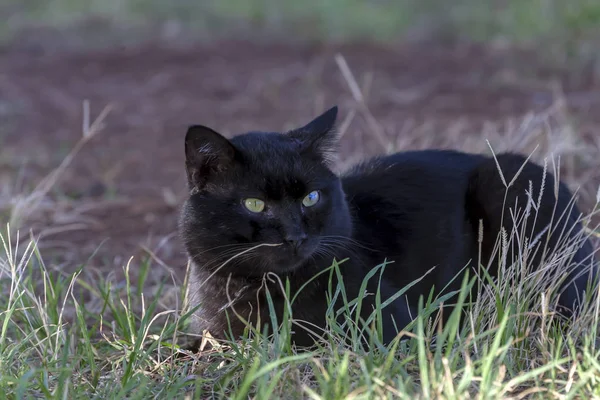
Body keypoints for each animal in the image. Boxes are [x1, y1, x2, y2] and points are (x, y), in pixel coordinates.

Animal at [178, 105, 596, 346]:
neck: (265, 291)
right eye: (255, 204)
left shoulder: (393, 325)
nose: (295, 236)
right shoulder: (212, 331)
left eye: (311, 197)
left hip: (509, 183)